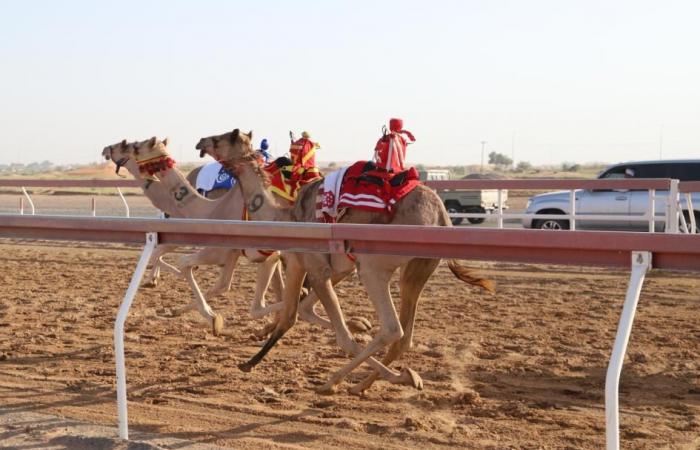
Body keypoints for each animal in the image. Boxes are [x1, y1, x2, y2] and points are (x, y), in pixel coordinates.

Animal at [194, 129, 494, 394]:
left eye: (222, 137)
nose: (200, 141)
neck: (285, 217)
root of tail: (442, 215)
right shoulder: (303, 264)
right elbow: (291, 315)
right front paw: (249, 363)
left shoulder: (318, 269)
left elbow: (341, 335)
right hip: (419, 267)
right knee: (404, 335)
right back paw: (367, 384)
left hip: (374, 266)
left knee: (392, 329)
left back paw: (333, 382)